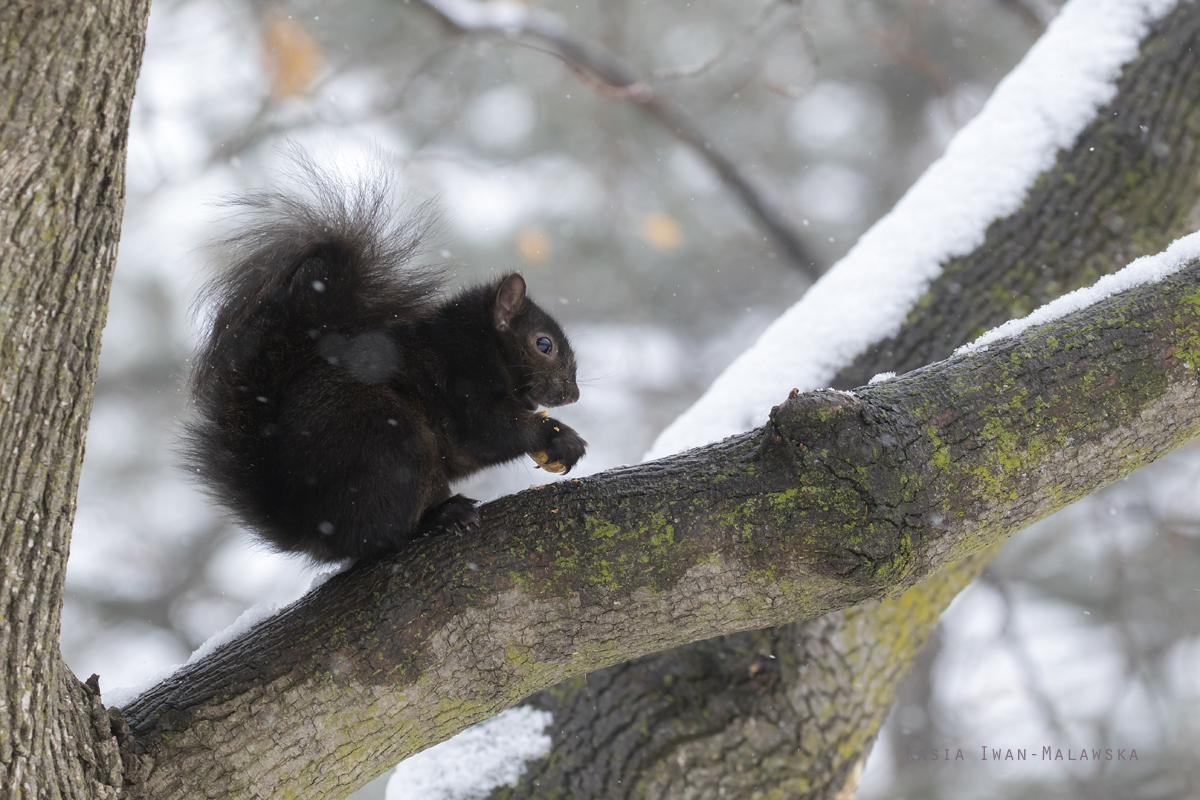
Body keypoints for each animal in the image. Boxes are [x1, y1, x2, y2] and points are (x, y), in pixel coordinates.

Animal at [181, 165, 585, 561]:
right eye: (544, 344)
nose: (574, 395)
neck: (483, 343)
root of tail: (313, 530)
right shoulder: (461, 378)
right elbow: (491, 430)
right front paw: (560, 437)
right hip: (388, 443)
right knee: (379, 537)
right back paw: (440, 517)